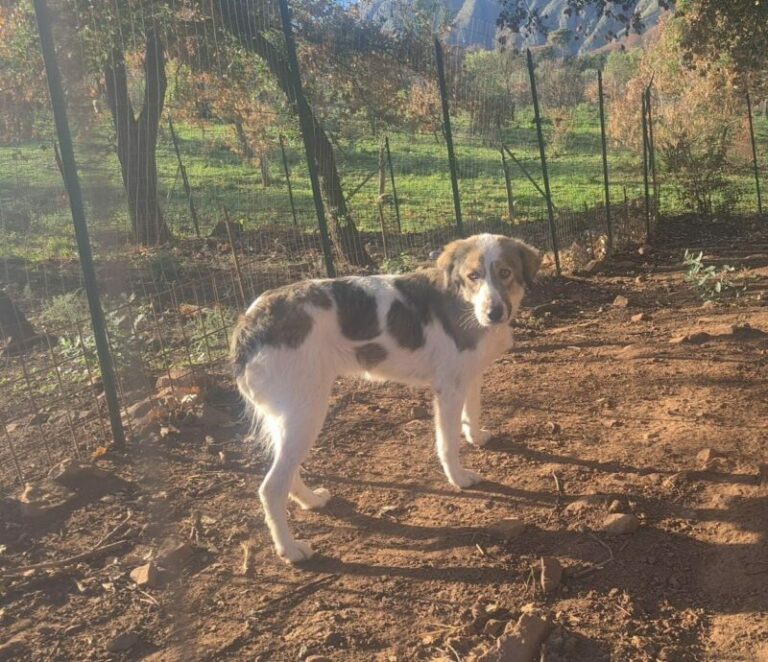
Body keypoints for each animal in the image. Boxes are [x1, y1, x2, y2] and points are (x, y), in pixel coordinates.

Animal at [230, 235, 540, 564]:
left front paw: (476, 436)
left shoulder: (470, 376)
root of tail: (249, 322)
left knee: (287, 472)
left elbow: (474, 412)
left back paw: (311, 500)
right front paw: (457, 478)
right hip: (308, 411)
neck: (464, 302)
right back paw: (290, 549)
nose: (494, 313)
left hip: (292, 416)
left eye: (505, 273)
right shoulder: (449, 389)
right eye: (473, 276)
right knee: (271, 487)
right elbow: (448, 443)